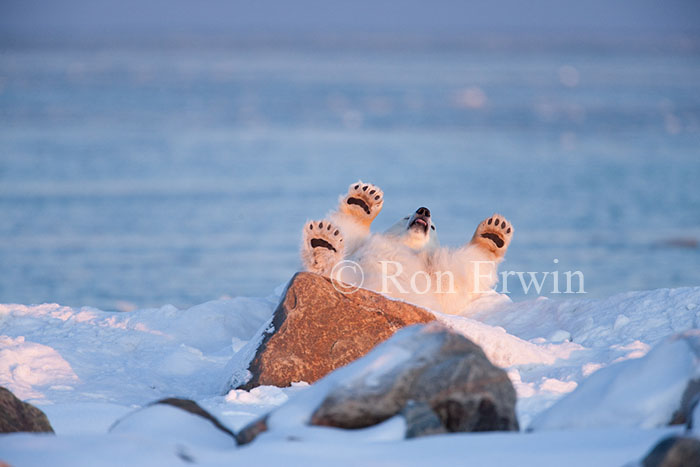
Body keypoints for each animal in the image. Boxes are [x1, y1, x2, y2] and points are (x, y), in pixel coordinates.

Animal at [300, 181, 513, 315]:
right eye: (405, 217)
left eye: (434, 227)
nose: (424, 210)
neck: (405, 246)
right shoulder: (362, 247)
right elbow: (349, 233)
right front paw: (362, 201)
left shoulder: (434, 278)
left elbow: (463, 275)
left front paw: (494, 233)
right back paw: (322, 244)